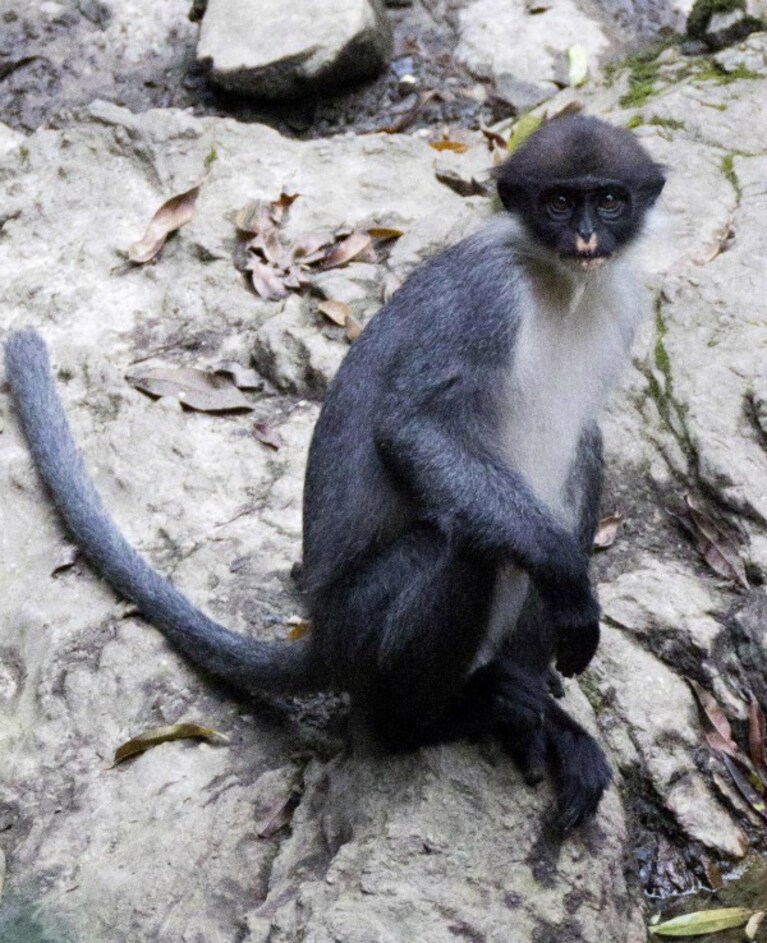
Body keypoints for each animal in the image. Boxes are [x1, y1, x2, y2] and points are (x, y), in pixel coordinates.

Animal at [4, 115, 665, 829]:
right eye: (560, 203)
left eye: (608, 200)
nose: (587, 237)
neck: (559, 286)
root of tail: (322, 635)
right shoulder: (484, 297)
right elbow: (414, 429)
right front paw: (568, 578)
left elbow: (577, 447)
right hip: (362, 628)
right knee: (464, 544)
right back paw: (432, 721)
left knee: (580, 455)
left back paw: (530, 710)